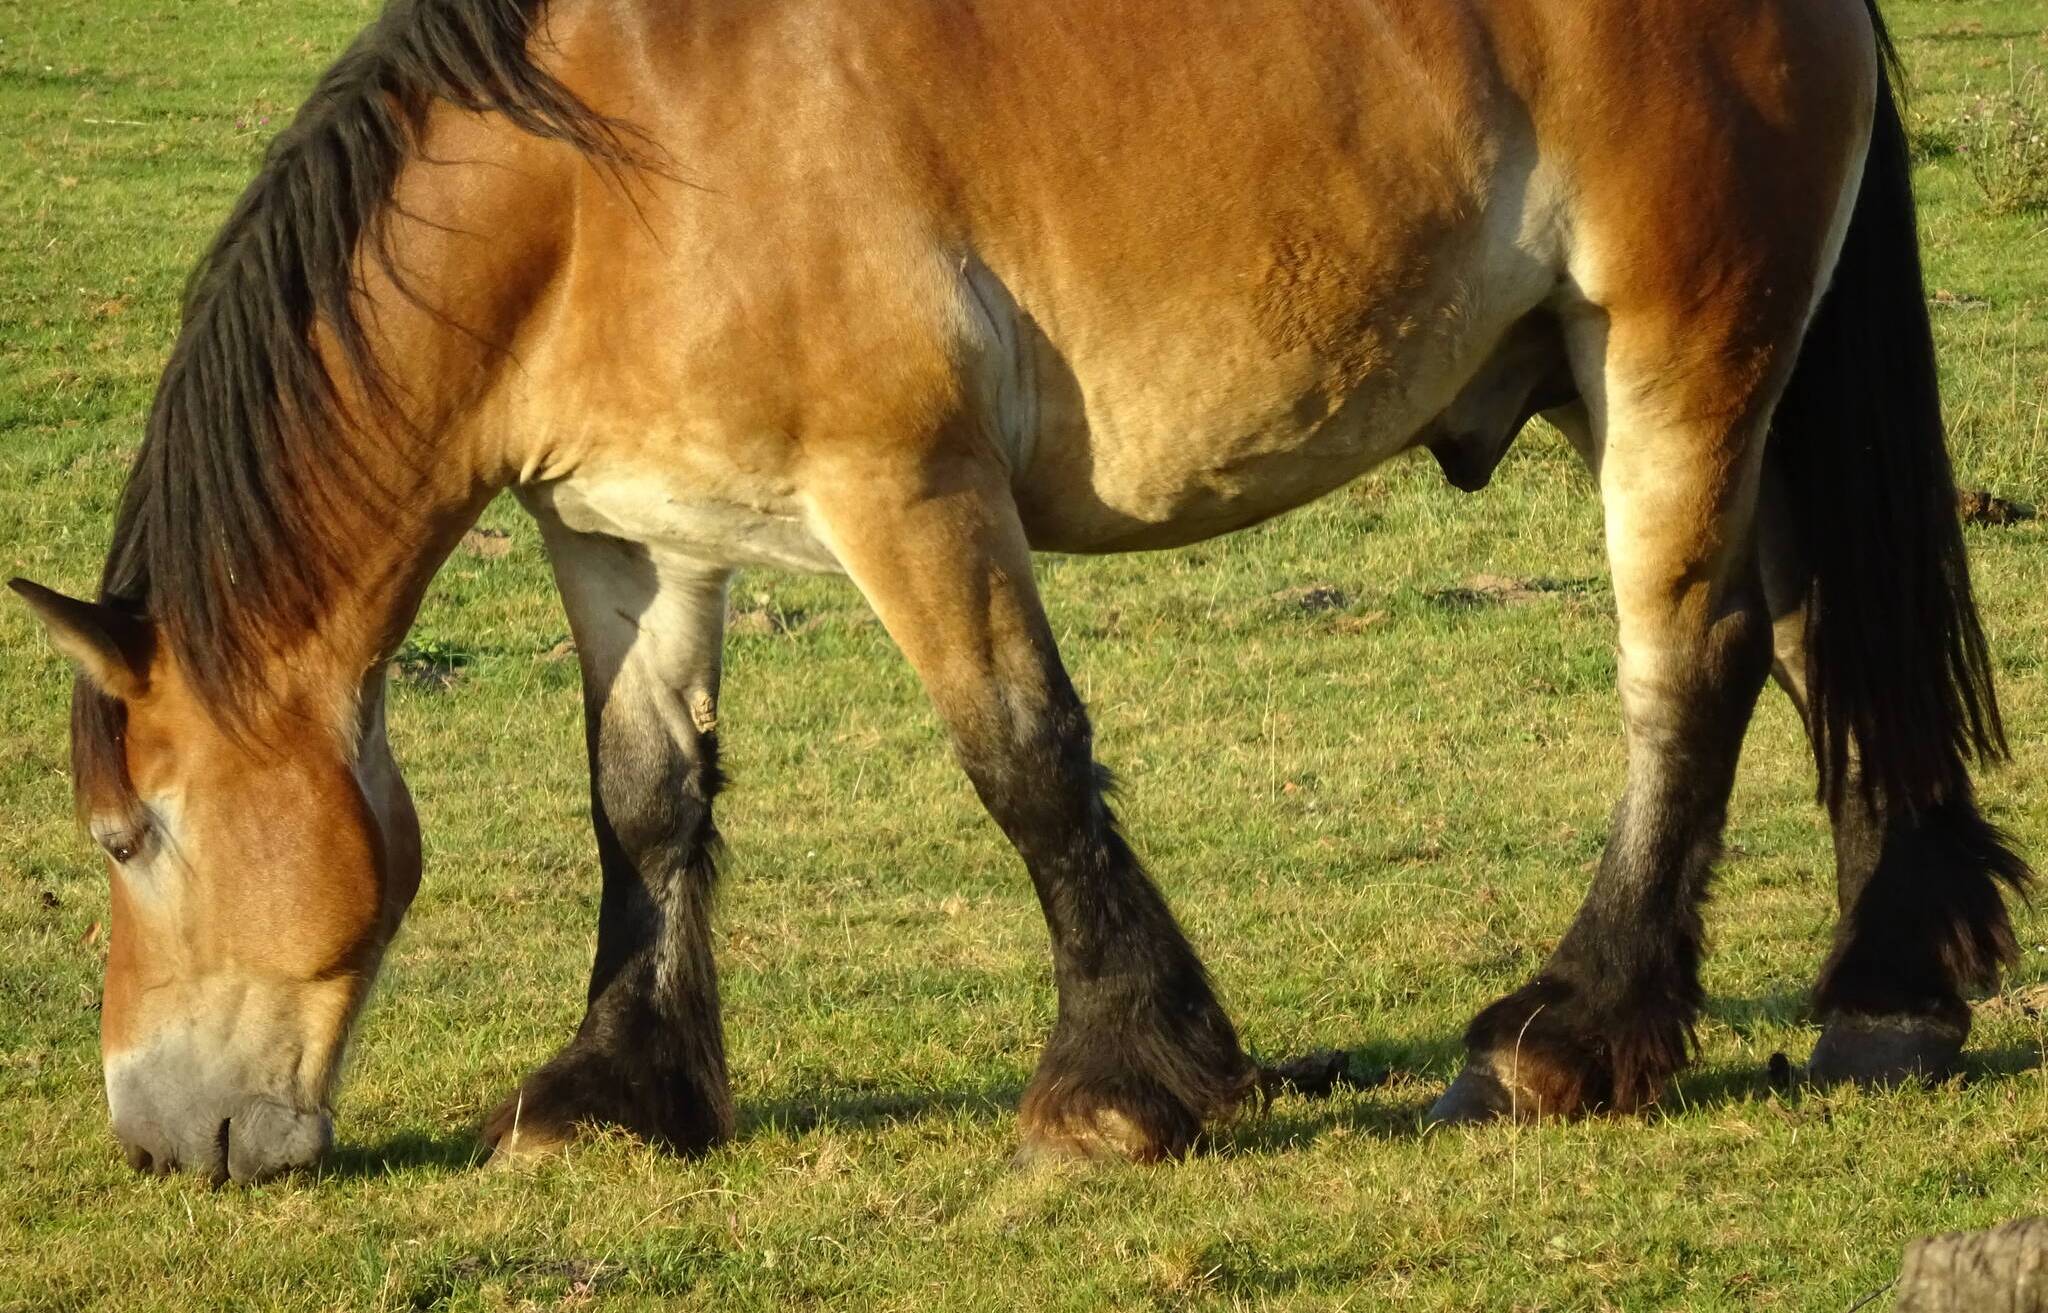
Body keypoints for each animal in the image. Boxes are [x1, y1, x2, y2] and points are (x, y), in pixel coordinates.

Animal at [12, 0, 2031, 1179]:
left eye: (132, 835)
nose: (153, 1139)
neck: (607, 179)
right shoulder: (632, 536)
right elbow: (643, 801)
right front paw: (612, 1091)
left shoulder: (907, 490)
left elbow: (1024, 759)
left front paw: (1121, 1080)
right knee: (1817, 629)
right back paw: (1888, 996)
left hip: (1673, 358)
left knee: (1688, 663)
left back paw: (1566, 1037)